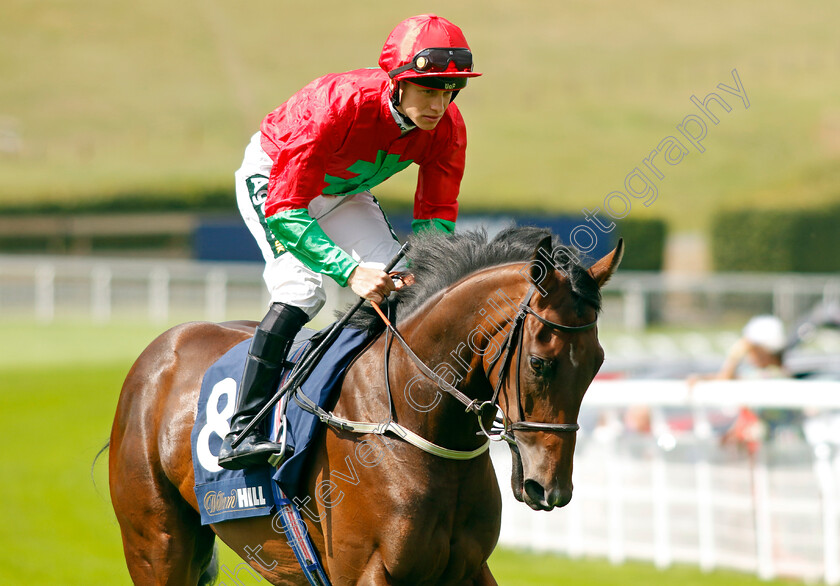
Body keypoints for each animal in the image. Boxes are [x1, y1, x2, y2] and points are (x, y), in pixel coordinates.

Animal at [108, 227, 624, 584]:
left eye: (598, 362)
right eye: (540, 362)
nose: (549, 488)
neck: (412, 421)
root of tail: (162, 348)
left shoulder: (467, 567)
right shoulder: (366, 571)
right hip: (156, 545)